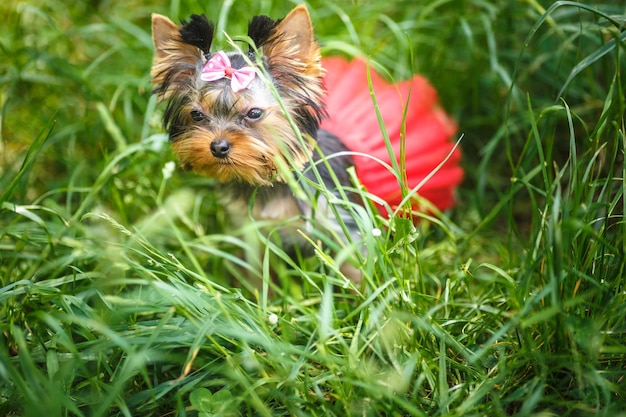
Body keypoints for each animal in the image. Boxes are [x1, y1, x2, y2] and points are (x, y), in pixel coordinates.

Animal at [151, 4, 364, 284]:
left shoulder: (339, 221)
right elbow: (256, 271)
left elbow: (355, 267)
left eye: (254, 113)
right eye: (196, 115)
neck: (269, 179)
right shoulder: (251, 229)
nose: (218, 147)